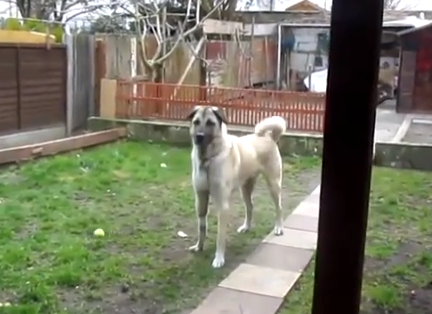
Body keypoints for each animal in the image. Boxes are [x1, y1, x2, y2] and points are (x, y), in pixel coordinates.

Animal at [186, 105, 286, 268]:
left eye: (210, 123)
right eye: (196, 122)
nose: (199, 136)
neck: (208, 159)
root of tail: (268, 137)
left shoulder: (223, 206)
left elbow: (220, 236)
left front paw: (219, 259)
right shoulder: (200, 199)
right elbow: (202, 227)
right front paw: (199, 247)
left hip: (273, 184)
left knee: (279, 208)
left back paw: (278, 228)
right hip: (245, 189)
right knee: (250, 206)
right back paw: (246, 227)